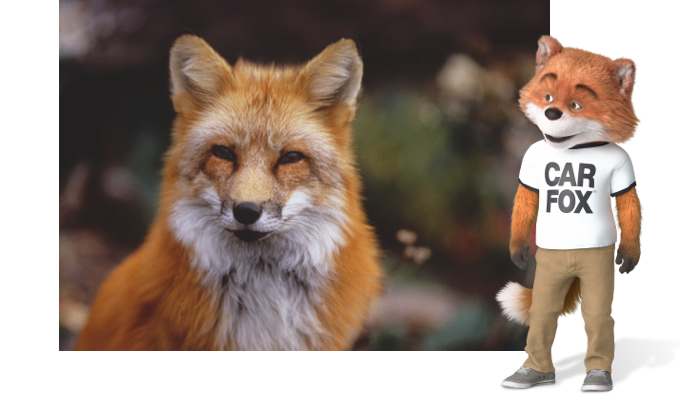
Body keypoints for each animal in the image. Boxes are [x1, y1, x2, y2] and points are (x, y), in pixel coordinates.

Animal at [496, 36, 640, 324]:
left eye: (576, 105)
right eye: (548, 97)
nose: (551, 113)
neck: (575, 149)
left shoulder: (624, 163)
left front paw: (630, 253)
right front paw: (517, 249)